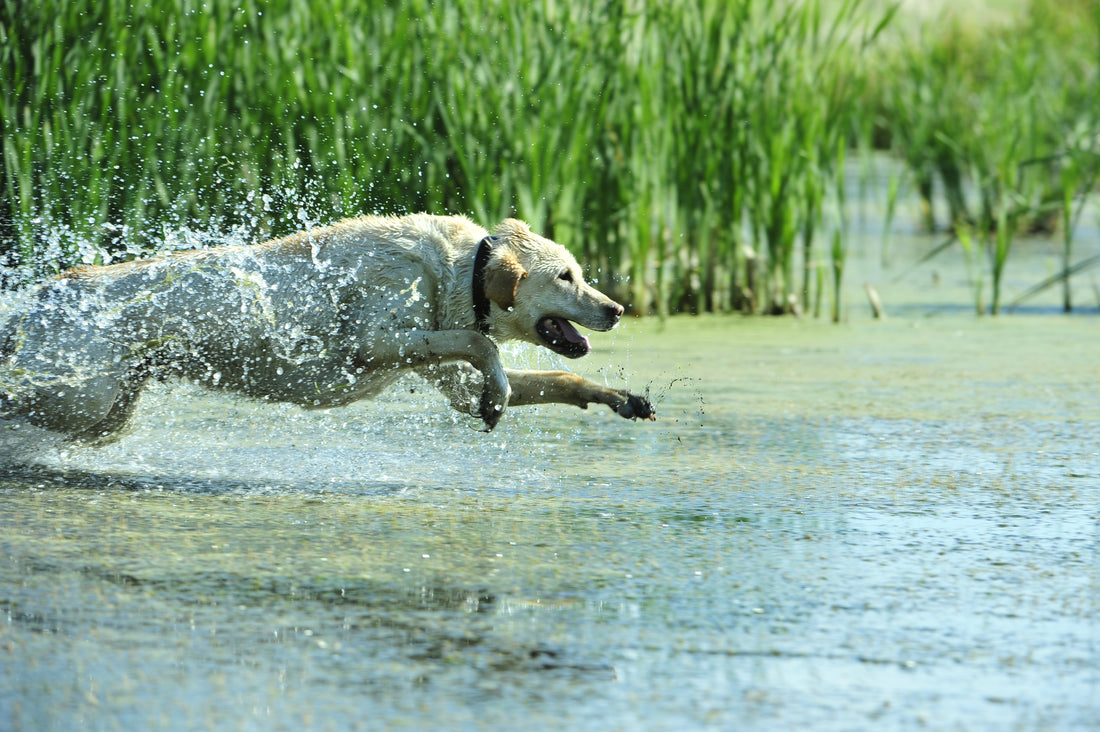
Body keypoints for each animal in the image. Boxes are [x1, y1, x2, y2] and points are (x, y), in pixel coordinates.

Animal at [0, 211, 651, 440]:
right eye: (565, 277)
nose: (618, 310)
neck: (461, 268)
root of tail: (44, 292)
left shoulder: (445, 374)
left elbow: (552, 381)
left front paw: (620, 397)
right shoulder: (381, 337)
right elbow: (477, 343)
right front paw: (497, 396)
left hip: (105, 414)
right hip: (79, 398)